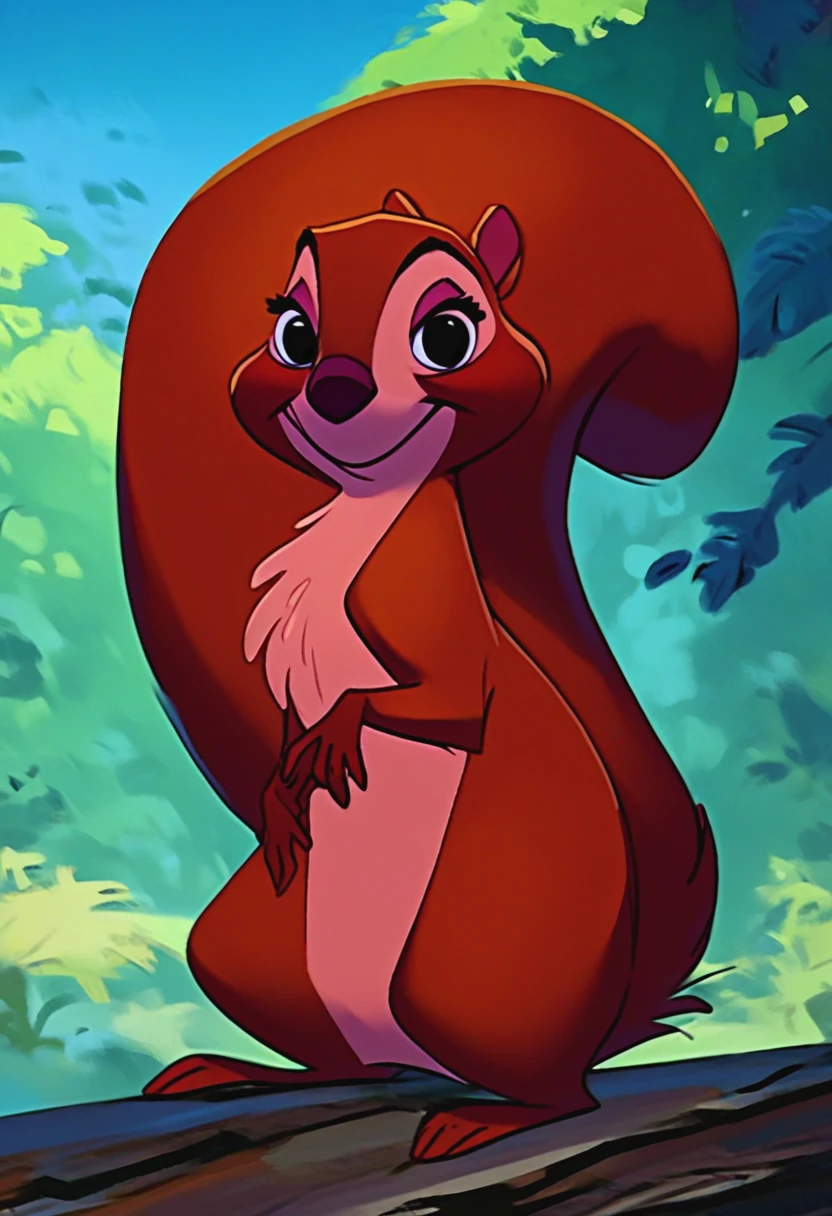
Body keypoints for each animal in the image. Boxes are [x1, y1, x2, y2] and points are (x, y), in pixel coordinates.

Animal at [118, 80, 738, 1162]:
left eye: (449, 332)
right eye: (292, 331)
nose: (334, 387)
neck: (363, 513)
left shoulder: (435, 603)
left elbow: (439, 693)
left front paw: (338, 730)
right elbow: (294, 718)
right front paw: (289, 772)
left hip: (484, 965)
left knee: (557, 1091)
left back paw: (487, 1114)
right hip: (248, 943)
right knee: (344, 1059)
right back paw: (246, 1069)